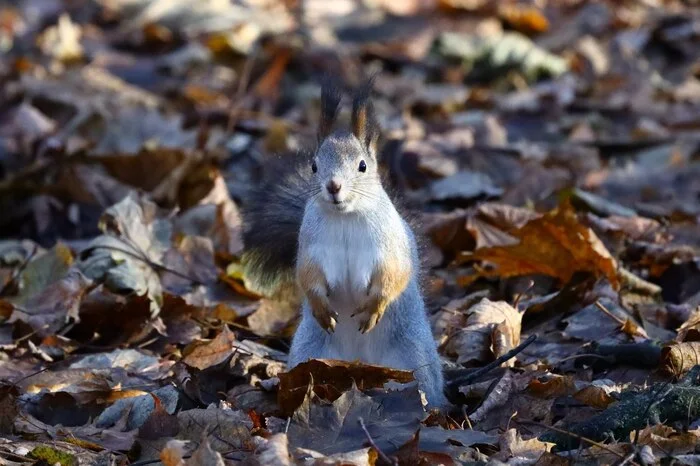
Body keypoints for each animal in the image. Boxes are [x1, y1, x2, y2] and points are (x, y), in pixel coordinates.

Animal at [241, 78, 446, 407]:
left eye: (362, 166)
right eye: (314, 166)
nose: (333, 186)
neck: (346, 217)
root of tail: (360, 363)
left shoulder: (390, 244)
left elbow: (395, 272)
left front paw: (375, 306)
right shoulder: (311, 246)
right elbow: (307, 275)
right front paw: (321, 307)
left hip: (414, 358)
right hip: (309, 354)